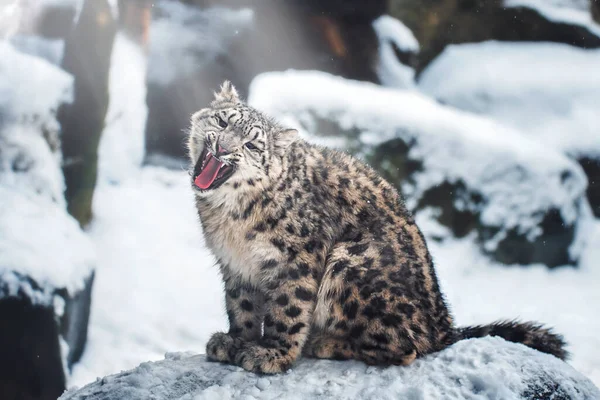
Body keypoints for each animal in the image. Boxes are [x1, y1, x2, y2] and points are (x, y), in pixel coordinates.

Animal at [188, 81, 568, 376]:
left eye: (252, 145)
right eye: (222, 121)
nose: (224, 147)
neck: (230, 219)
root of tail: (441, 325)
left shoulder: (297, 259)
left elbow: (288, 308)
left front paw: (271, 354)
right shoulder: (235, 265)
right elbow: (242, 306)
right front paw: (235, 342)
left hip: (350, 263)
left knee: (405, 347)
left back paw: (324, 342)